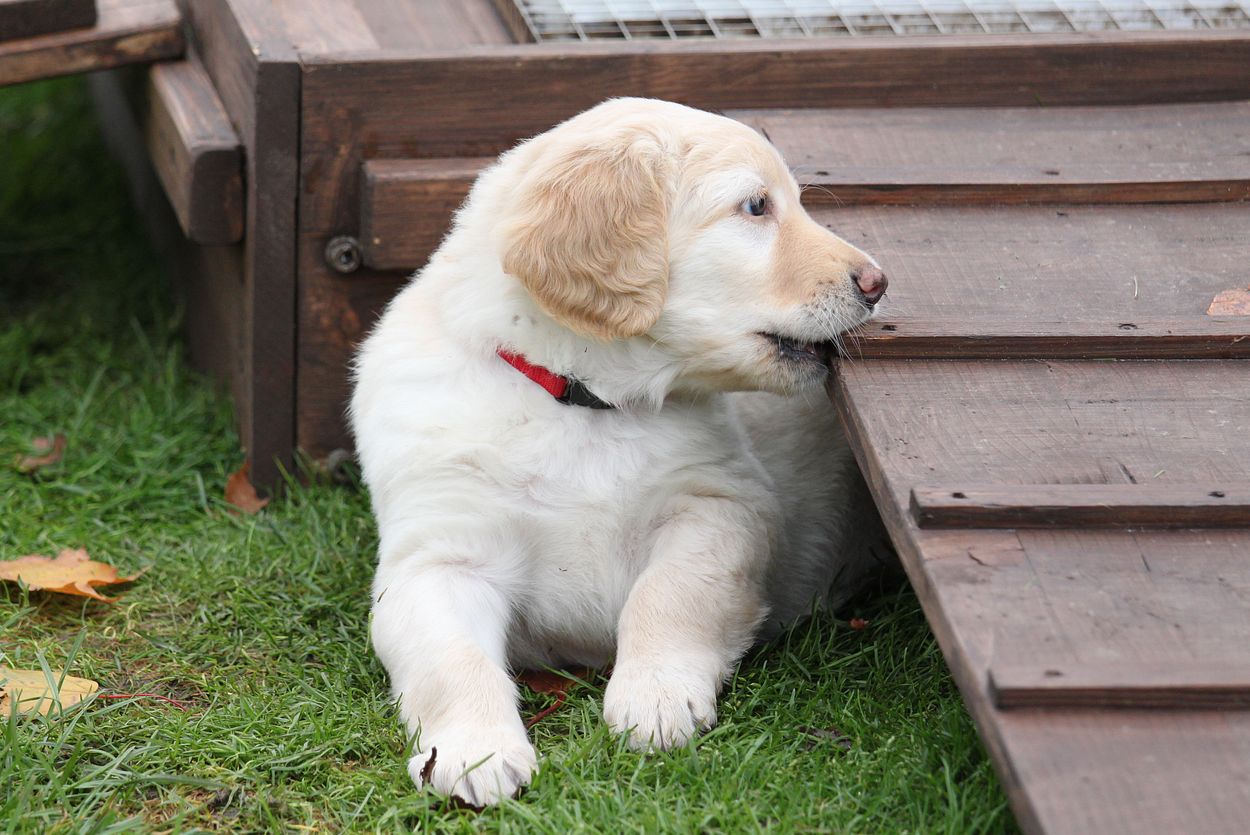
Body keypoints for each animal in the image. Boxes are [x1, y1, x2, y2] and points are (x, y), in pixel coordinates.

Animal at [350, 98, 889, 807]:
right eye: (755, 207)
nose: (878, 283)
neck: (583, 401)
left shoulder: (719, 506)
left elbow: (670, 594)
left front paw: (655, 697)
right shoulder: (438, 557)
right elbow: (451, 659)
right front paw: (472, 752)